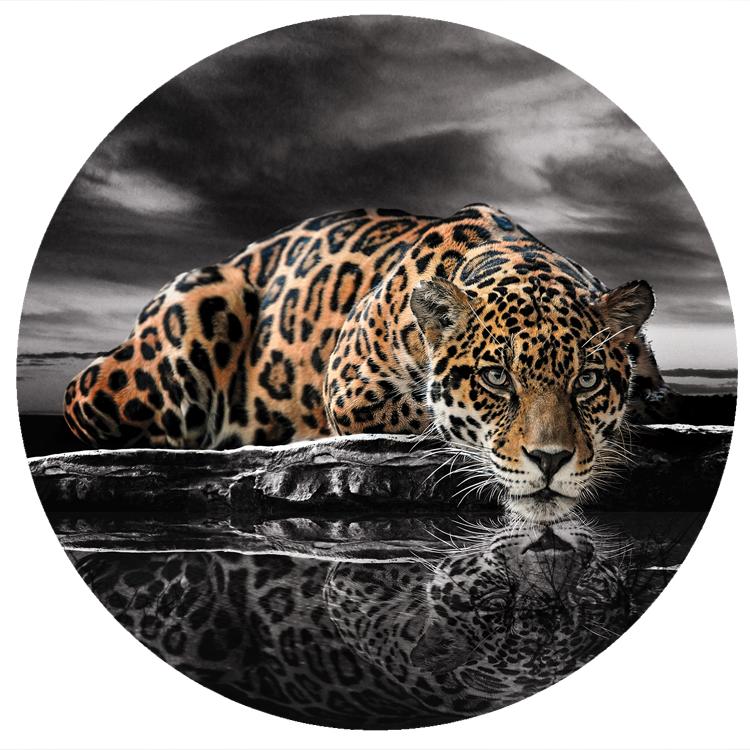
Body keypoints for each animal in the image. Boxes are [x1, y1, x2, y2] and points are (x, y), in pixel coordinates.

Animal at [63, 203, 663, 521]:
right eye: (496, 378)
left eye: (587, 380)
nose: (550, 461)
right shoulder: (352, 388)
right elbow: (428, 416)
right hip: (184, 326)